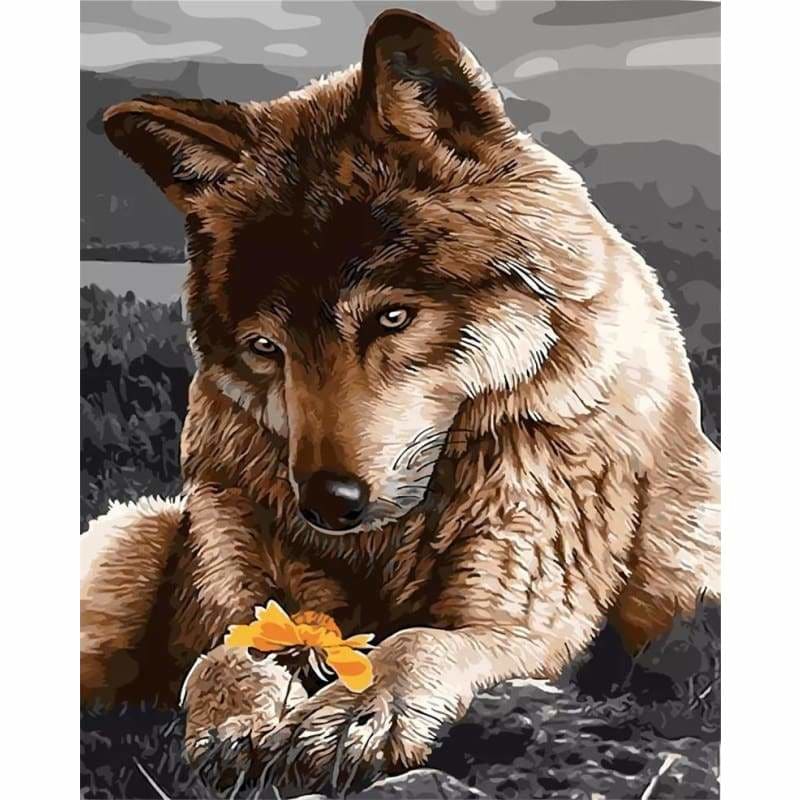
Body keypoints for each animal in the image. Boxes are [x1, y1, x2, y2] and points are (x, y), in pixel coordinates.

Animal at [80, 8, 720, 791]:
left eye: (392, 318)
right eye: (267, 348)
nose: (326, 504)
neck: (391, 542)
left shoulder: (526, 619)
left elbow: (417, 640)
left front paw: (357, 713)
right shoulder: (238, 588)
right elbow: (226, 652)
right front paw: (240, 719)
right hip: (131, 535)